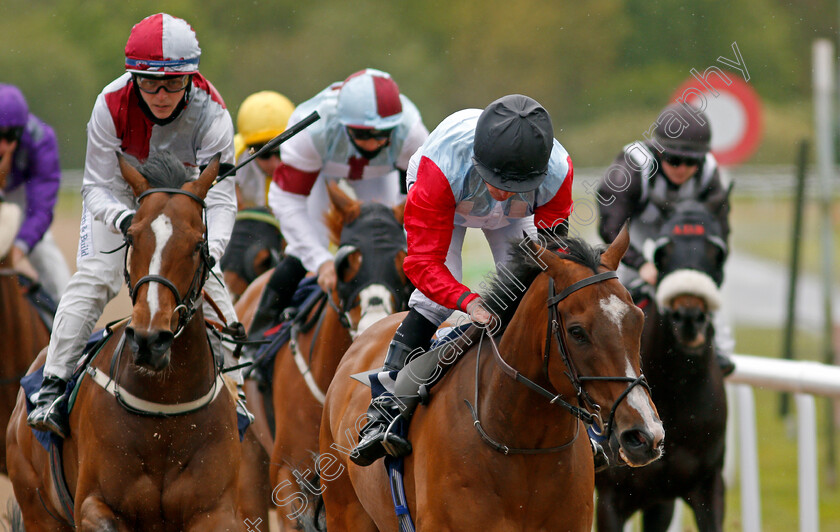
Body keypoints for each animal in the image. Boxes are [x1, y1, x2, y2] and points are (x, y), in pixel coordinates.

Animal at [6, 152, 256, 528]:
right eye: (133, 237)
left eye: (198, 244)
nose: (149, 340)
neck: (165, 407)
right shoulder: (93, 504)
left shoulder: (215, 510)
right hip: (37, 507)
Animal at [596, 201, 728, 532]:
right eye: (662, 253)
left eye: (717, 253)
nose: (689, 316)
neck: (675, 392)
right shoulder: (611, 497)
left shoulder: (707, 487)